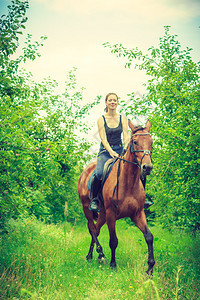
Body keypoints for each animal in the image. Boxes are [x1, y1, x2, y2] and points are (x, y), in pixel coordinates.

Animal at [77, 119, 155, 274]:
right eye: (135, 142)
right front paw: (113, 264)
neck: (129, 182)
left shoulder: (137, 213)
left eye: (151, 142)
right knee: (92, 229)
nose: (147, 167)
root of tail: (85, 171)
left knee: (96, 230)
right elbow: (113, 240)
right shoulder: (112, 214)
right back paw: (101, 255)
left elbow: (149, 237)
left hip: (102, 214)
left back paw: (90, 256)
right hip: (87, 208)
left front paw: (150, 268)